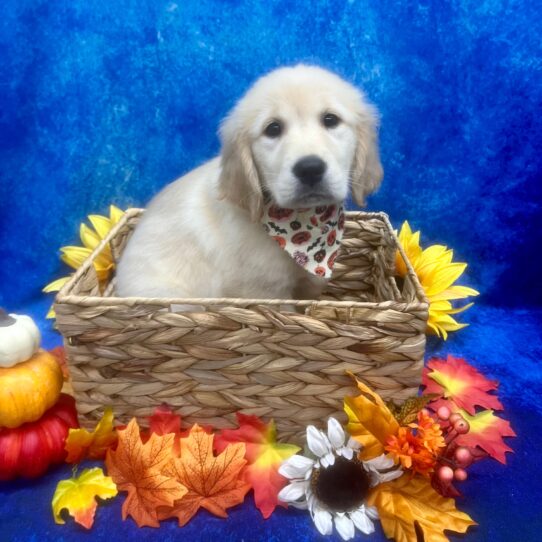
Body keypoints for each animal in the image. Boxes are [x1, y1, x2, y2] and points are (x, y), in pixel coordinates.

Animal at [117, 65, 384, 304]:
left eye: (330, 120)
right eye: (273, 128)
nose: (309, 169)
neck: (302, 227)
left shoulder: (308, 283)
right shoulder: (263, 291)